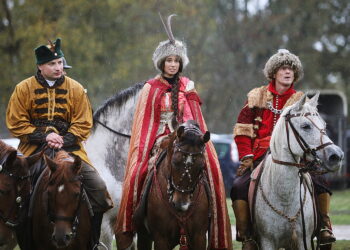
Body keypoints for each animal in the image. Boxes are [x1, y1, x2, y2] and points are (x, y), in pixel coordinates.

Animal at [134, 120, 211, 249]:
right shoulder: (161, 239)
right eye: (175, 162)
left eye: (201, 167)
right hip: (143, 236)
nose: (181, 204)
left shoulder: (199, 237)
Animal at [253, 93, 344, 250]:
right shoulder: (267, 241)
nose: (336, 156)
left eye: (324, 125)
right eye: (305, 126)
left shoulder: (303, 240)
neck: (284, 197)